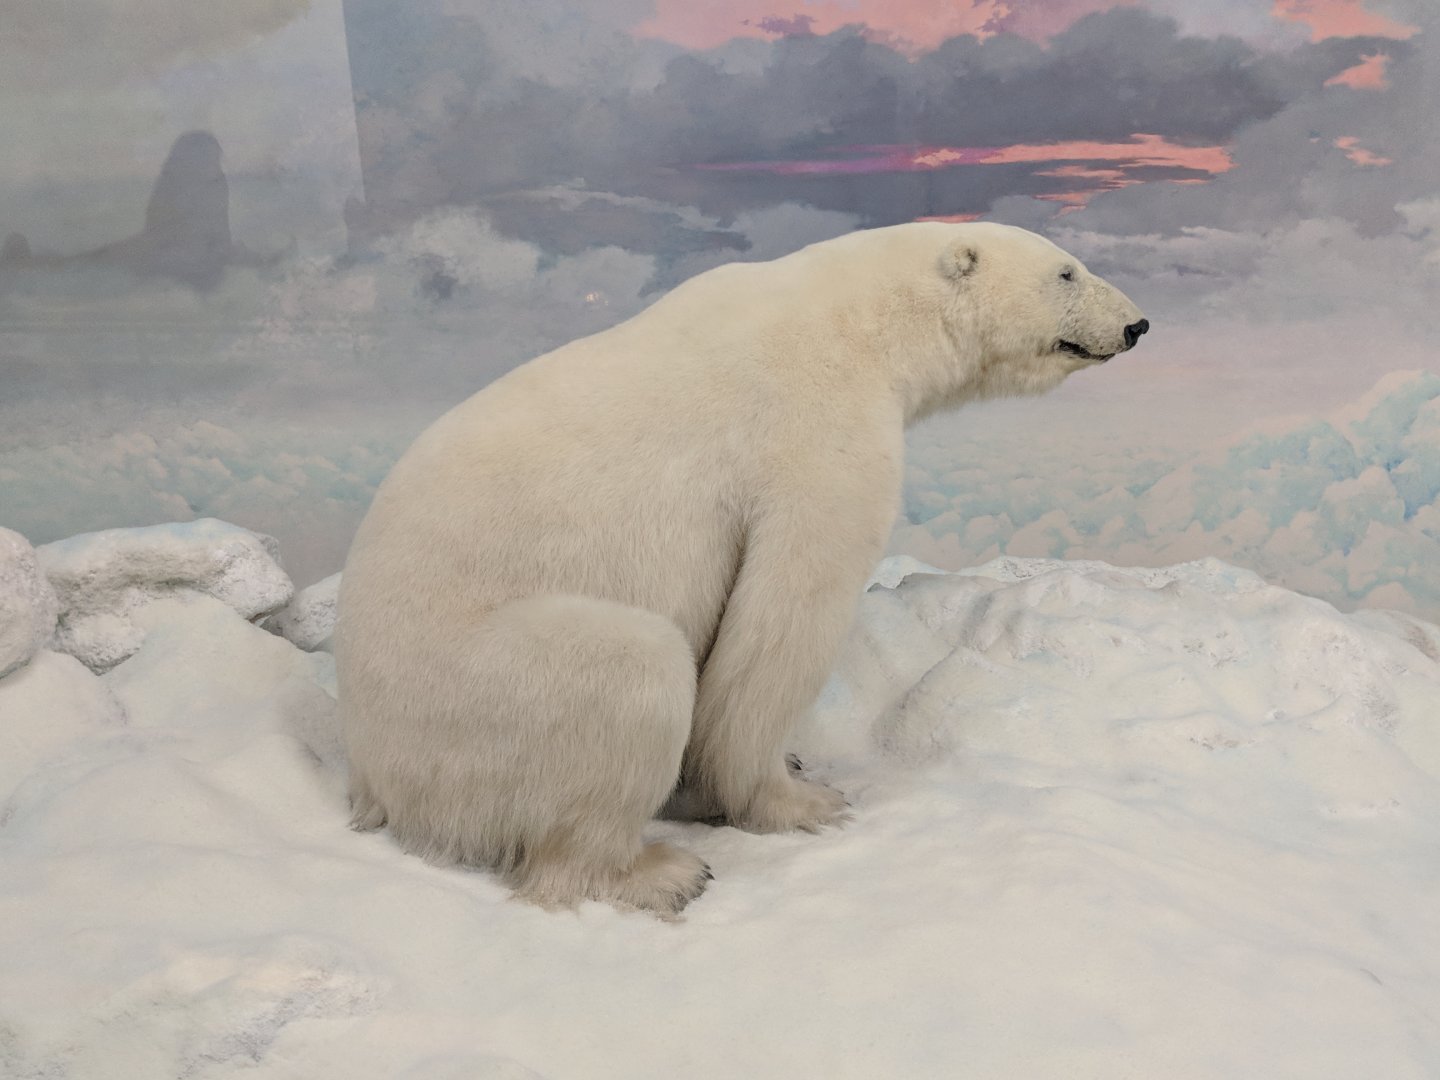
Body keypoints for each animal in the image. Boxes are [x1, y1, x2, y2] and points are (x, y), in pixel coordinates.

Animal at [335, 222, 1147, 915]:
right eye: (1067, 270)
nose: (1137, 324)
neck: (865, 319)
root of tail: (368, 773)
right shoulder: (816, 430)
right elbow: (780, 622)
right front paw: (798, 800)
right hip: (466, 699)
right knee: (632, 670)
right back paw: (657, 872)